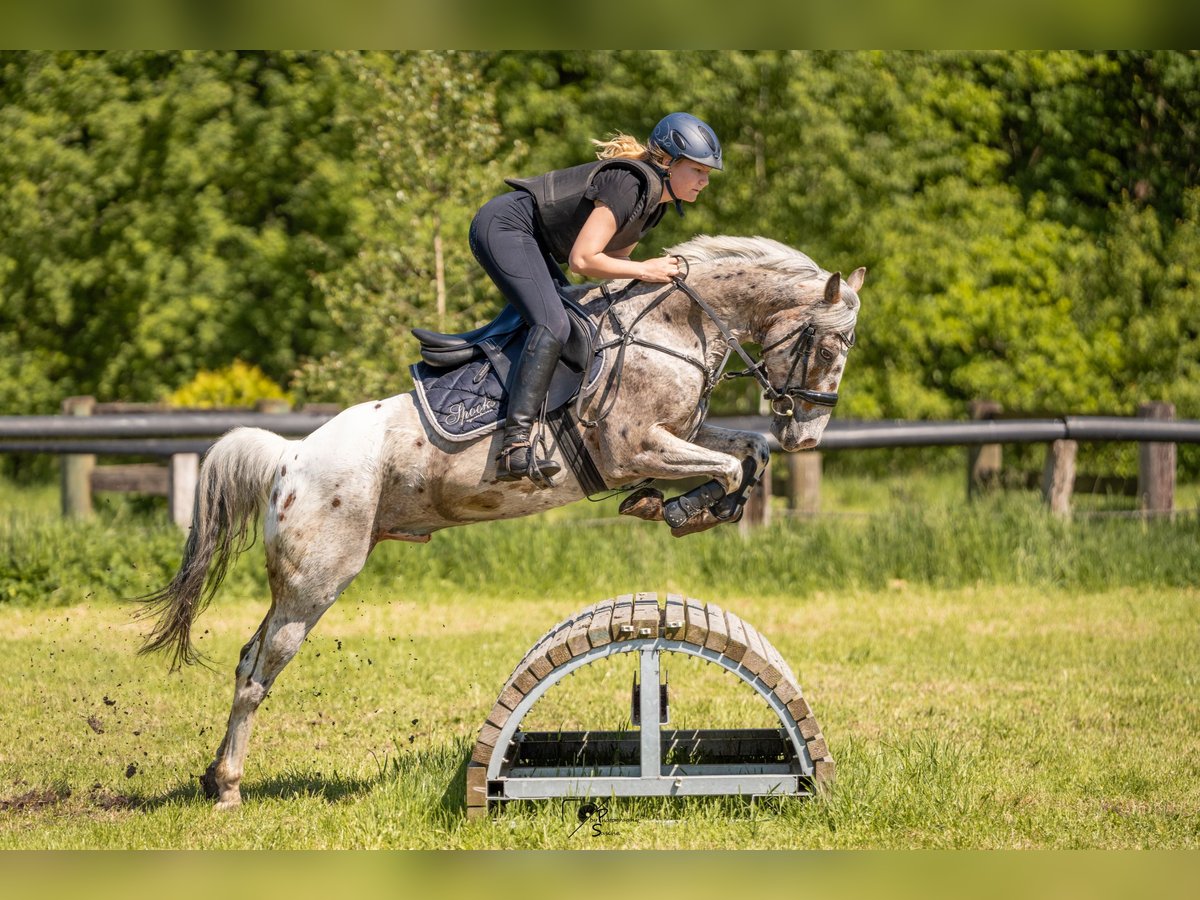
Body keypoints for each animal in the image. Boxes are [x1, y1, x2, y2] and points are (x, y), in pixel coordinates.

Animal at [138, 232, 864, 811]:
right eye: (831, 344)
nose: (808, 436)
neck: (676, 326)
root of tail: (289, 458)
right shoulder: (635, 447)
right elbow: (733, 465)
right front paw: (680, 508)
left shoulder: (680, 434)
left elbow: (747, 451)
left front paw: (689, 504)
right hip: (316, 582)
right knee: (258, 673)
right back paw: (229, 789)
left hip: (298, 584)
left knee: (246, 657)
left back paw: (214, 777)